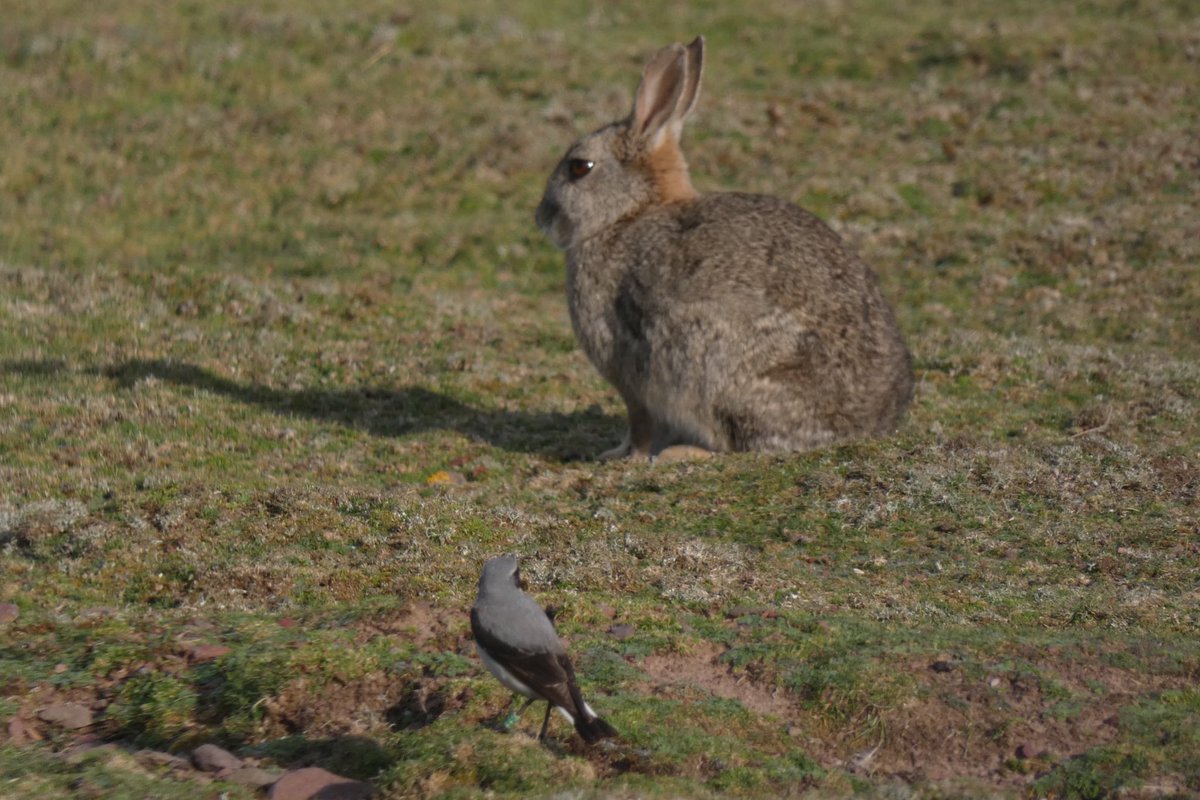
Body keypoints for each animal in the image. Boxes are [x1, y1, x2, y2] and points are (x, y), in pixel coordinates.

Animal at [532, 35, 907, 462]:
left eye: (579, 167)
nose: (541, 216)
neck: (629, 214)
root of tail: (862, 427)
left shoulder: (630, 370)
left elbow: (640, 423)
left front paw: (625, 457)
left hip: (712, 362)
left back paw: (681, 453)